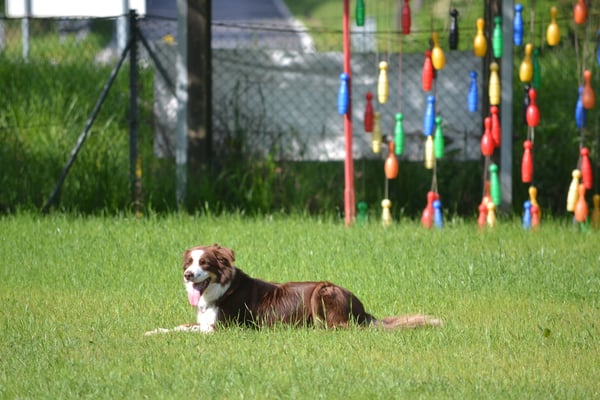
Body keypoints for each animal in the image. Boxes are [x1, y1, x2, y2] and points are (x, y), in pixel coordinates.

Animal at [145, 244, 441, 334]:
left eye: (204, 263)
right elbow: (181, 326)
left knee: (339, 327)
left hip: (323, 291)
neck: (219, 291)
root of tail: (362, 309)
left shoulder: (226, 328)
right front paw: (153, 331)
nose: (187, 275)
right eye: (189, 263)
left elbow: (190, 332)